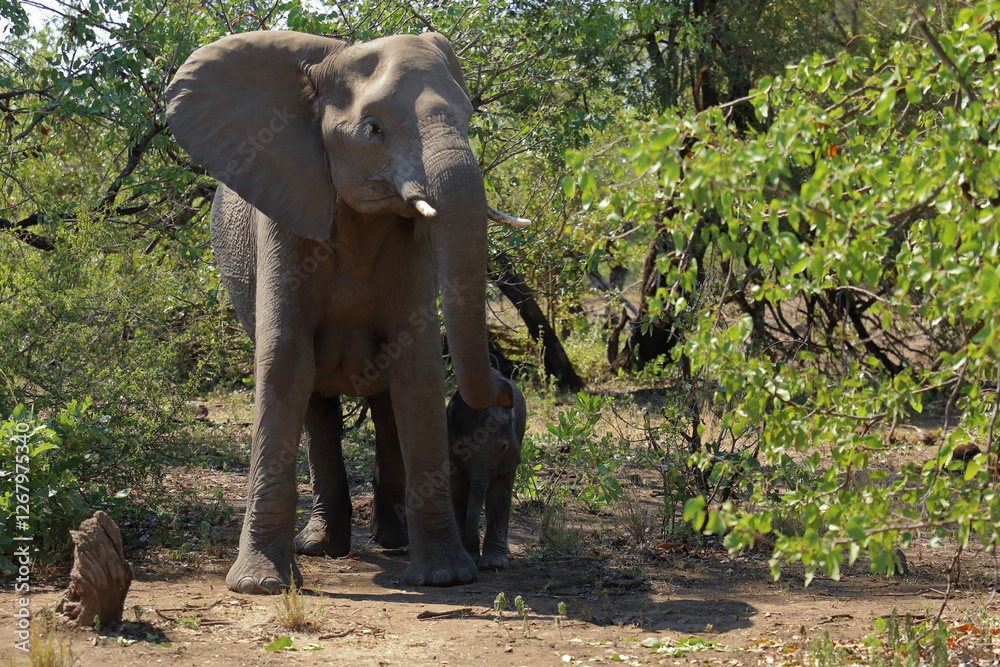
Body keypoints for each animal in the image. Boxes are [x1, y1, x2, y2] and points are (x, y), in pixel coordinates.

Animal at [448, 369, 526, 571]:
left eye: (503, 447)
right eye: (461, 447)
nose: (469, 549)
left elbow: (500, 491)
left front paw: (493, 565)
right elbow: (459, 491)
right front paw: (471, 556)